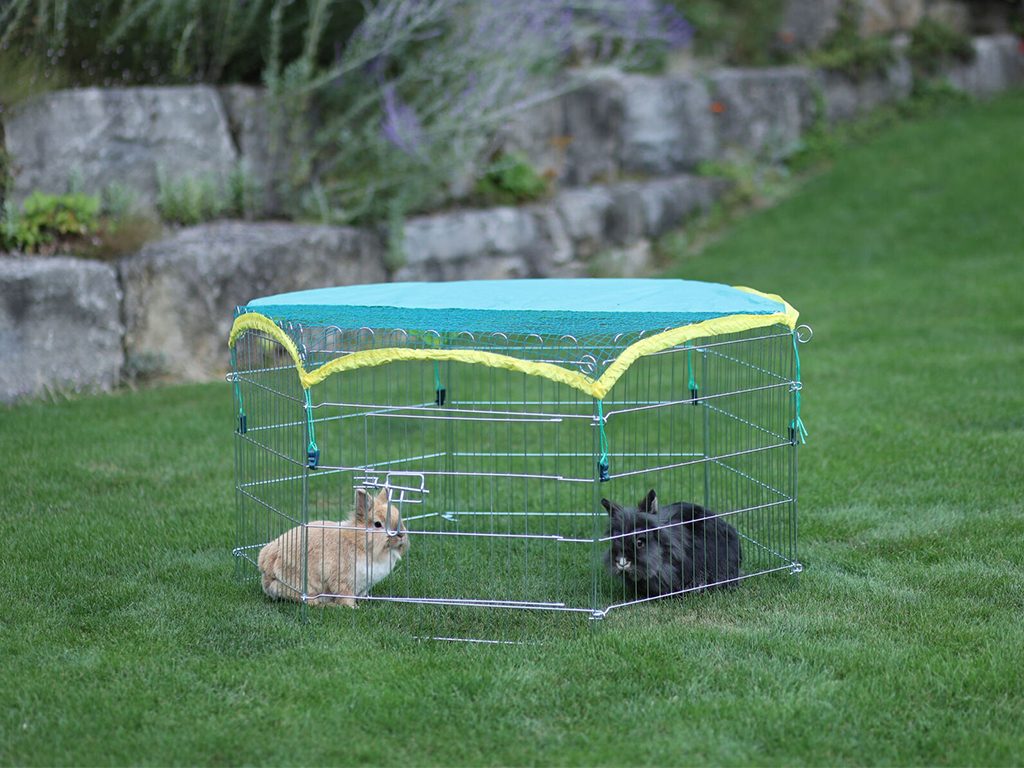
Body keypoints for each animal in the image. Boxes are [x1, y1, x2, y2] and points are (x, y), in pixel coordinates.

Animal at [258, 487, 408, 607]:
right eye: (377, 524)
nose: (401, 535)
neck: (360, 542)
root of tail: (266, 569)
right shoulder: (344, 582)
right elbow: (345, 596)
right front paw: (354, 608)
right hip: (304, 585)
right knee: (311, 602)